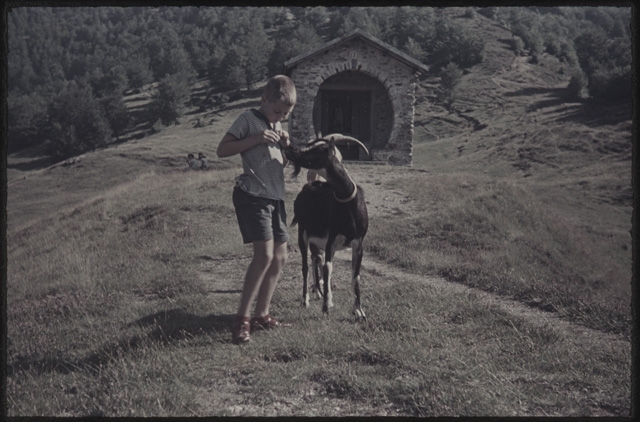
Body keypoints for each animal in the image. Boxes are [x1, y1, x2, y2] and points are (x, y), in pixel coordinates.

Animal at [284, 134, 369, 320]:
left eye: (318, 150)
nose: (290, 148)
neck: (348, 202)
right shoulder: (331, 240)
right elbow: (327, 268)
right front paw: (325, 307)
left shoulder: (358, 243)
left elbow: (356, 276)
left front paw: (359, 311)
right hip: (303, 233)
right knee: (306, 266)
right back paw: (306, 299)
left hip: (317, 240)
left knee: (316, 258)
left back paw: (320, 292)